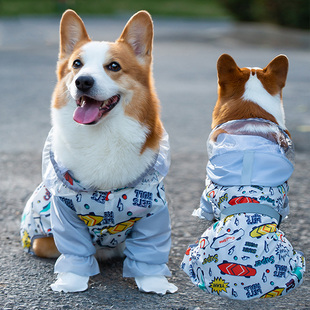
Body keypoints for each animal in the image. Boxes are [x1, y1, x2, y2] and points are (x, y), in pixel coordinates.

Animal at [20, 10, 177, 296]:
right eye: (76, 64)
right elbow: (75, 252)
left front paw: (154, 284)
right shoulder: (64, 213)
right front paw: (71, 282)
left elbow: (149, 254)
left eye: (114, 66)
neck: (103, 135)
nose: (83, 81)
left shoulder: (154, 212)